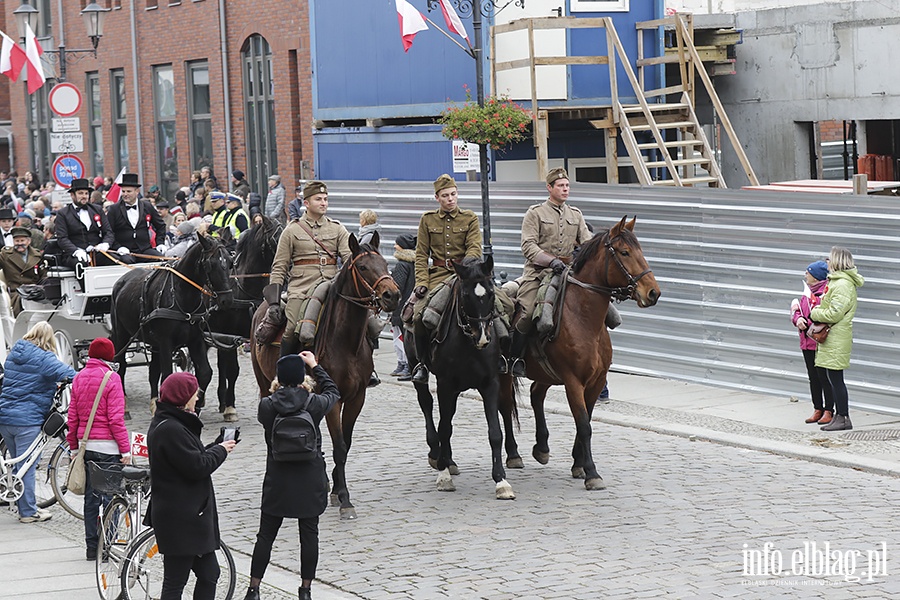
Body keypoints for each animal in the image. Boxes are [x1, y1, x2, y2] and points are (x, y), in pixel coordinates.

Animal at [109, 233, 234, 408]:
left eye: (230, 262)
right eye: (210, 264)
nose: (227, 300)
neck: (183, 296)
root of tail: (122, 281)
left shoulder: (196, 340)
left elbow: (204, 373)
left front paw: (196, 405)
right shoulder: (165, 341)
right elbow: (167, 375)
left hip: (153, 343)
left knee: (153, 372)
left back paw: (154, 401)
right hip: (122, 336)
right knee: (120, 364)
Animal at [248, 232, 400, 516]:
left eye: (385, 263)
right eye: (363, 267)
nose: (392, 295)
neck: (345, 342)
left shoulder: (356, 398)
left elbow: (346, 443)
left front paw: (336, 488)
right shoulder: (334, 399)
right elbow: (339, 446)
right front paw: (344, 498)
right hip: (264, 385)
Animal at [406, 255, 524, 500]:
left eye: (491, 293)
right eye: (466, 295)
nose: (483, 337)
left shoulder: (490, 383)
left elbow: (494, 432)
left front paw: (501, 481)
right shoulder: (445, 385)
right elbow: (444, 428)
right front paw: (443, 476)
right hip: (419, 371)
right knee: (428, 406)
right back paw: (438, 455)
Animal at [500, 218, 660, 490]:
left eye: (641, 250)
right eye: (625, 252)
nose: (653, 292)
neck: (584, 318)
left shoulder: (596, 382)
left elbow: (586, 420)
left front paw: (578, 464)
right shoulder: (573, 381)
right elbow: (583, 424)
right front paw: (591, 472)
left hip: (545, 373)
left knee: (536, 395)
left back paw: (541, 447)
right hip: (504, 372)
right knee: (505, 406)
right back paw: (513, 454)